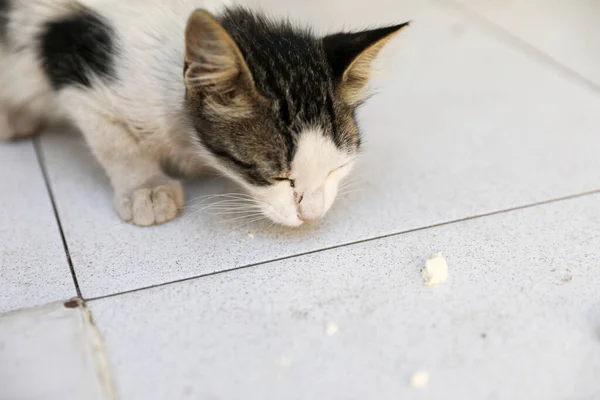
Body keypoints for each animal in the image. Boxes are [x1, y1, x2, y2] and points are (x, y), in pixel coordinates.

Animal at [0, 0, 408, 225]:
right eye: (275, 177)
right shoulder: (71, 57)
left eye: (337, 167)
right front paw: (145, 188)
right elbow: (114, 138)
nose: (312, 216)